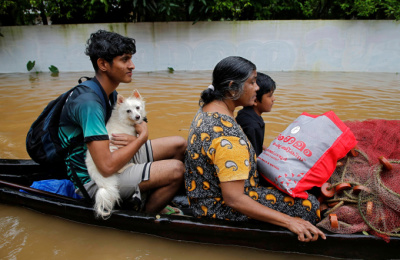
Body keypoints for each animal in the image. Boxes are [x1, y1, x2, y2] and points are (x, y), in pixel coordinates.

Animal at [85, 90, 147, 219]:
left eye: (137, 107)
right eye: (128, 111)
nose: (138, 117)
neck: (124, 120)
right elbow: (135, 139)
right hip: (115, 151)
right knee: (118, 169)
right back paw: (129, 164)